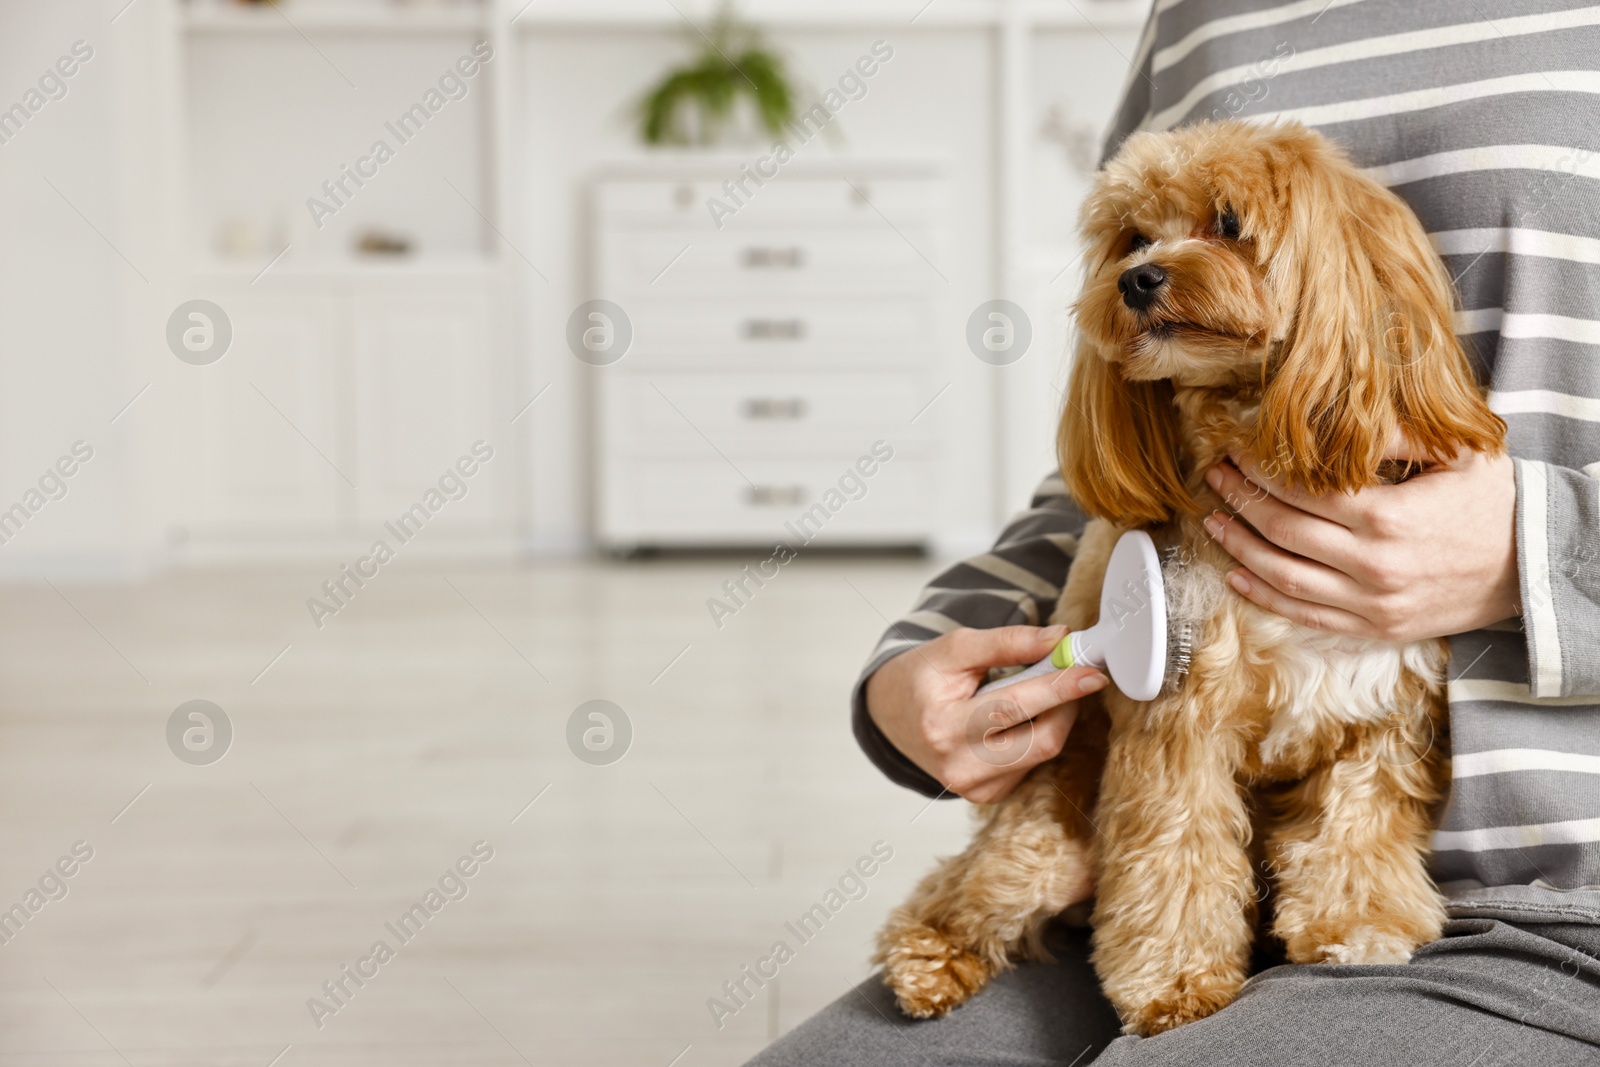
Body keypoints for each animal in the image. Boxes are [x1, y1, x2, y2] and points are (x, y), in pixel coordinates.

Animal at [876, 119, 1497, 1036]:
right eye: (1134, 237)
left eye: (1229, 222)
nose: (1138, 278)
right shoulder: (1178, 719)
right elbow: (1176, 853)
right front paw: (1174, 981)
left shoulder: (1383, 707)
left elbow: (1357, 827)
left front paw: (1359, 923)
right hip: (1039, 842)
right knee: (956, 890)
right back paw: (928, 963)